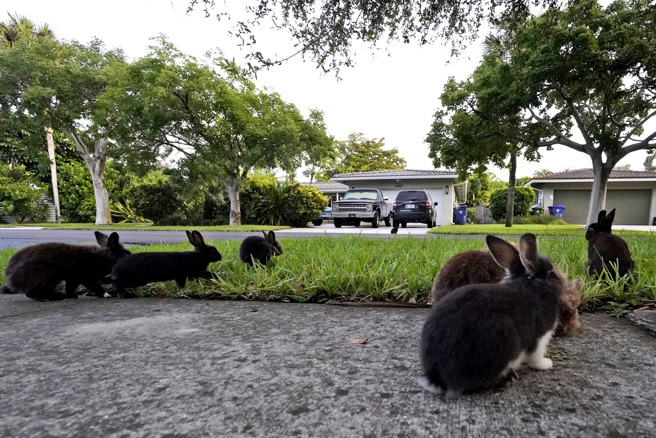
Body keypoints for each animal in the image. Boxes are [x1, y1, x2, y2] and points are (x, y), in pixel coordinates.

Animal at [0, 231, 130, 301]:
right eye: (123, 255)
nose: (130, 257)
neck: (105, 257)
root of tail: (11, 278)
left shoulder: (73, 279)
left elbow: (70, 288)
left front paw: (73, 296)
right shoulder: (88, 278)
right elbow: (96, 287)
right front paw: (107, 295)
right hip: (48, 275)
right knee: (31, 292)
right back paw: (51, 298)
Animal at [419, 233, 567, 397]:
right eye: (552, 273)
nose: (564, 282)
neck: (532, 284)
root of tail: (438, 379)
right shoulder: (540, 336)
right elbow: (536, 356)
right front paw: (546, 364)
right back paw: (507, 379)